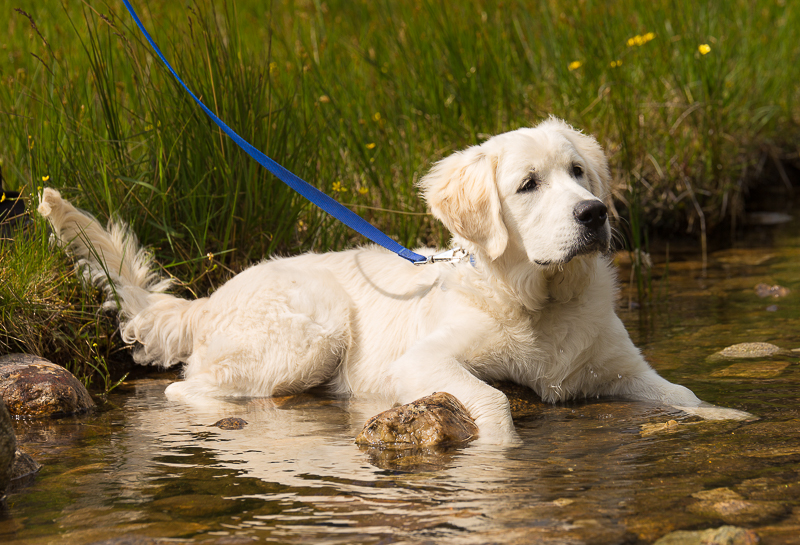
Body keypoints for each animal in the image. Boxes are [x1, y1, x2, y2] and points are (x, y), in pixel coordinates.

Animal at [37, 118, 752, 442]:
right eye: (528, 184)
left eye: (579, 172)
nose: (594, 213)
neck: (542, 301)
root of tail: (210, 298)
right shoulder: (423, 362)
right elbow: (492, 400)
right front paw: (499, 447)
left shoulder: (622, 366)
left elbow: (683, 394)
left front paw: (733, 416)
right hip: (312, 332)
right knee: (188, 389)